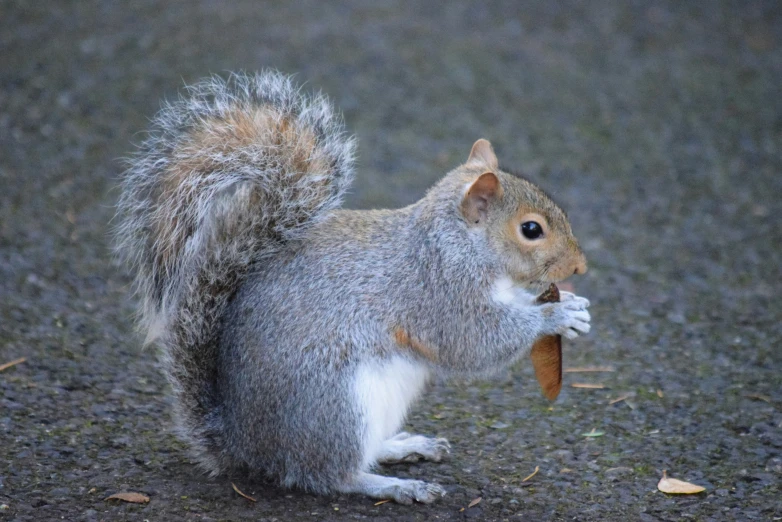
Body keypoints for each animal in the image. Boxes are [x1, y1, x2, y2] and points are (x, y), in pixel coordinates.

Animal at [115, 71, 596, 502]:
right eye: (531, 230)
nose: (581, 265)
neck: (457, 244)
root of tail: (244, 444)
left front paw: (571, 304)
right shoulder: (438, 291)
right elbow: (474, 342)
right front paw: (556, 314)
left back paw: (405, 446)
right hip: (336, 407)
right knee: (330, 475)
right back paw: (396, 486)